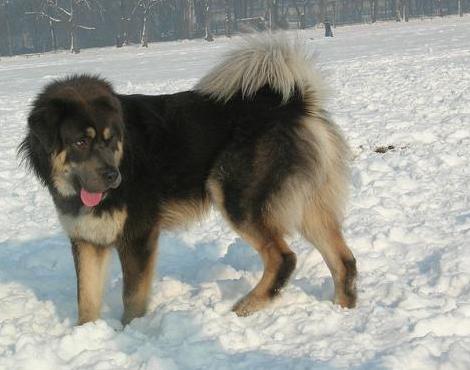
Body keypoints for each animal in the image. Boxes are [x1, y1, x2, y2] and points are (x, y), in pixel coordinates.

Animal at [19, 36, 356, 326]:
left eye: (110, 139)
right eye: (80, 142)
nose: (114, 177)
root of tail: (295, 104)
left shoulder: (138, 237)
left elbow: (132, 298)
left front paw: (132, 332)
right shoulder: (86, 239)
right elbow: (86, 301)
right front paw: (89, 334)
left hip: (238, 198)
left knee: (284, 258)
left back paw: (245, 307)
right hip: (308, 206)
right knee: (344, 260)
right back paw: (343, 310)